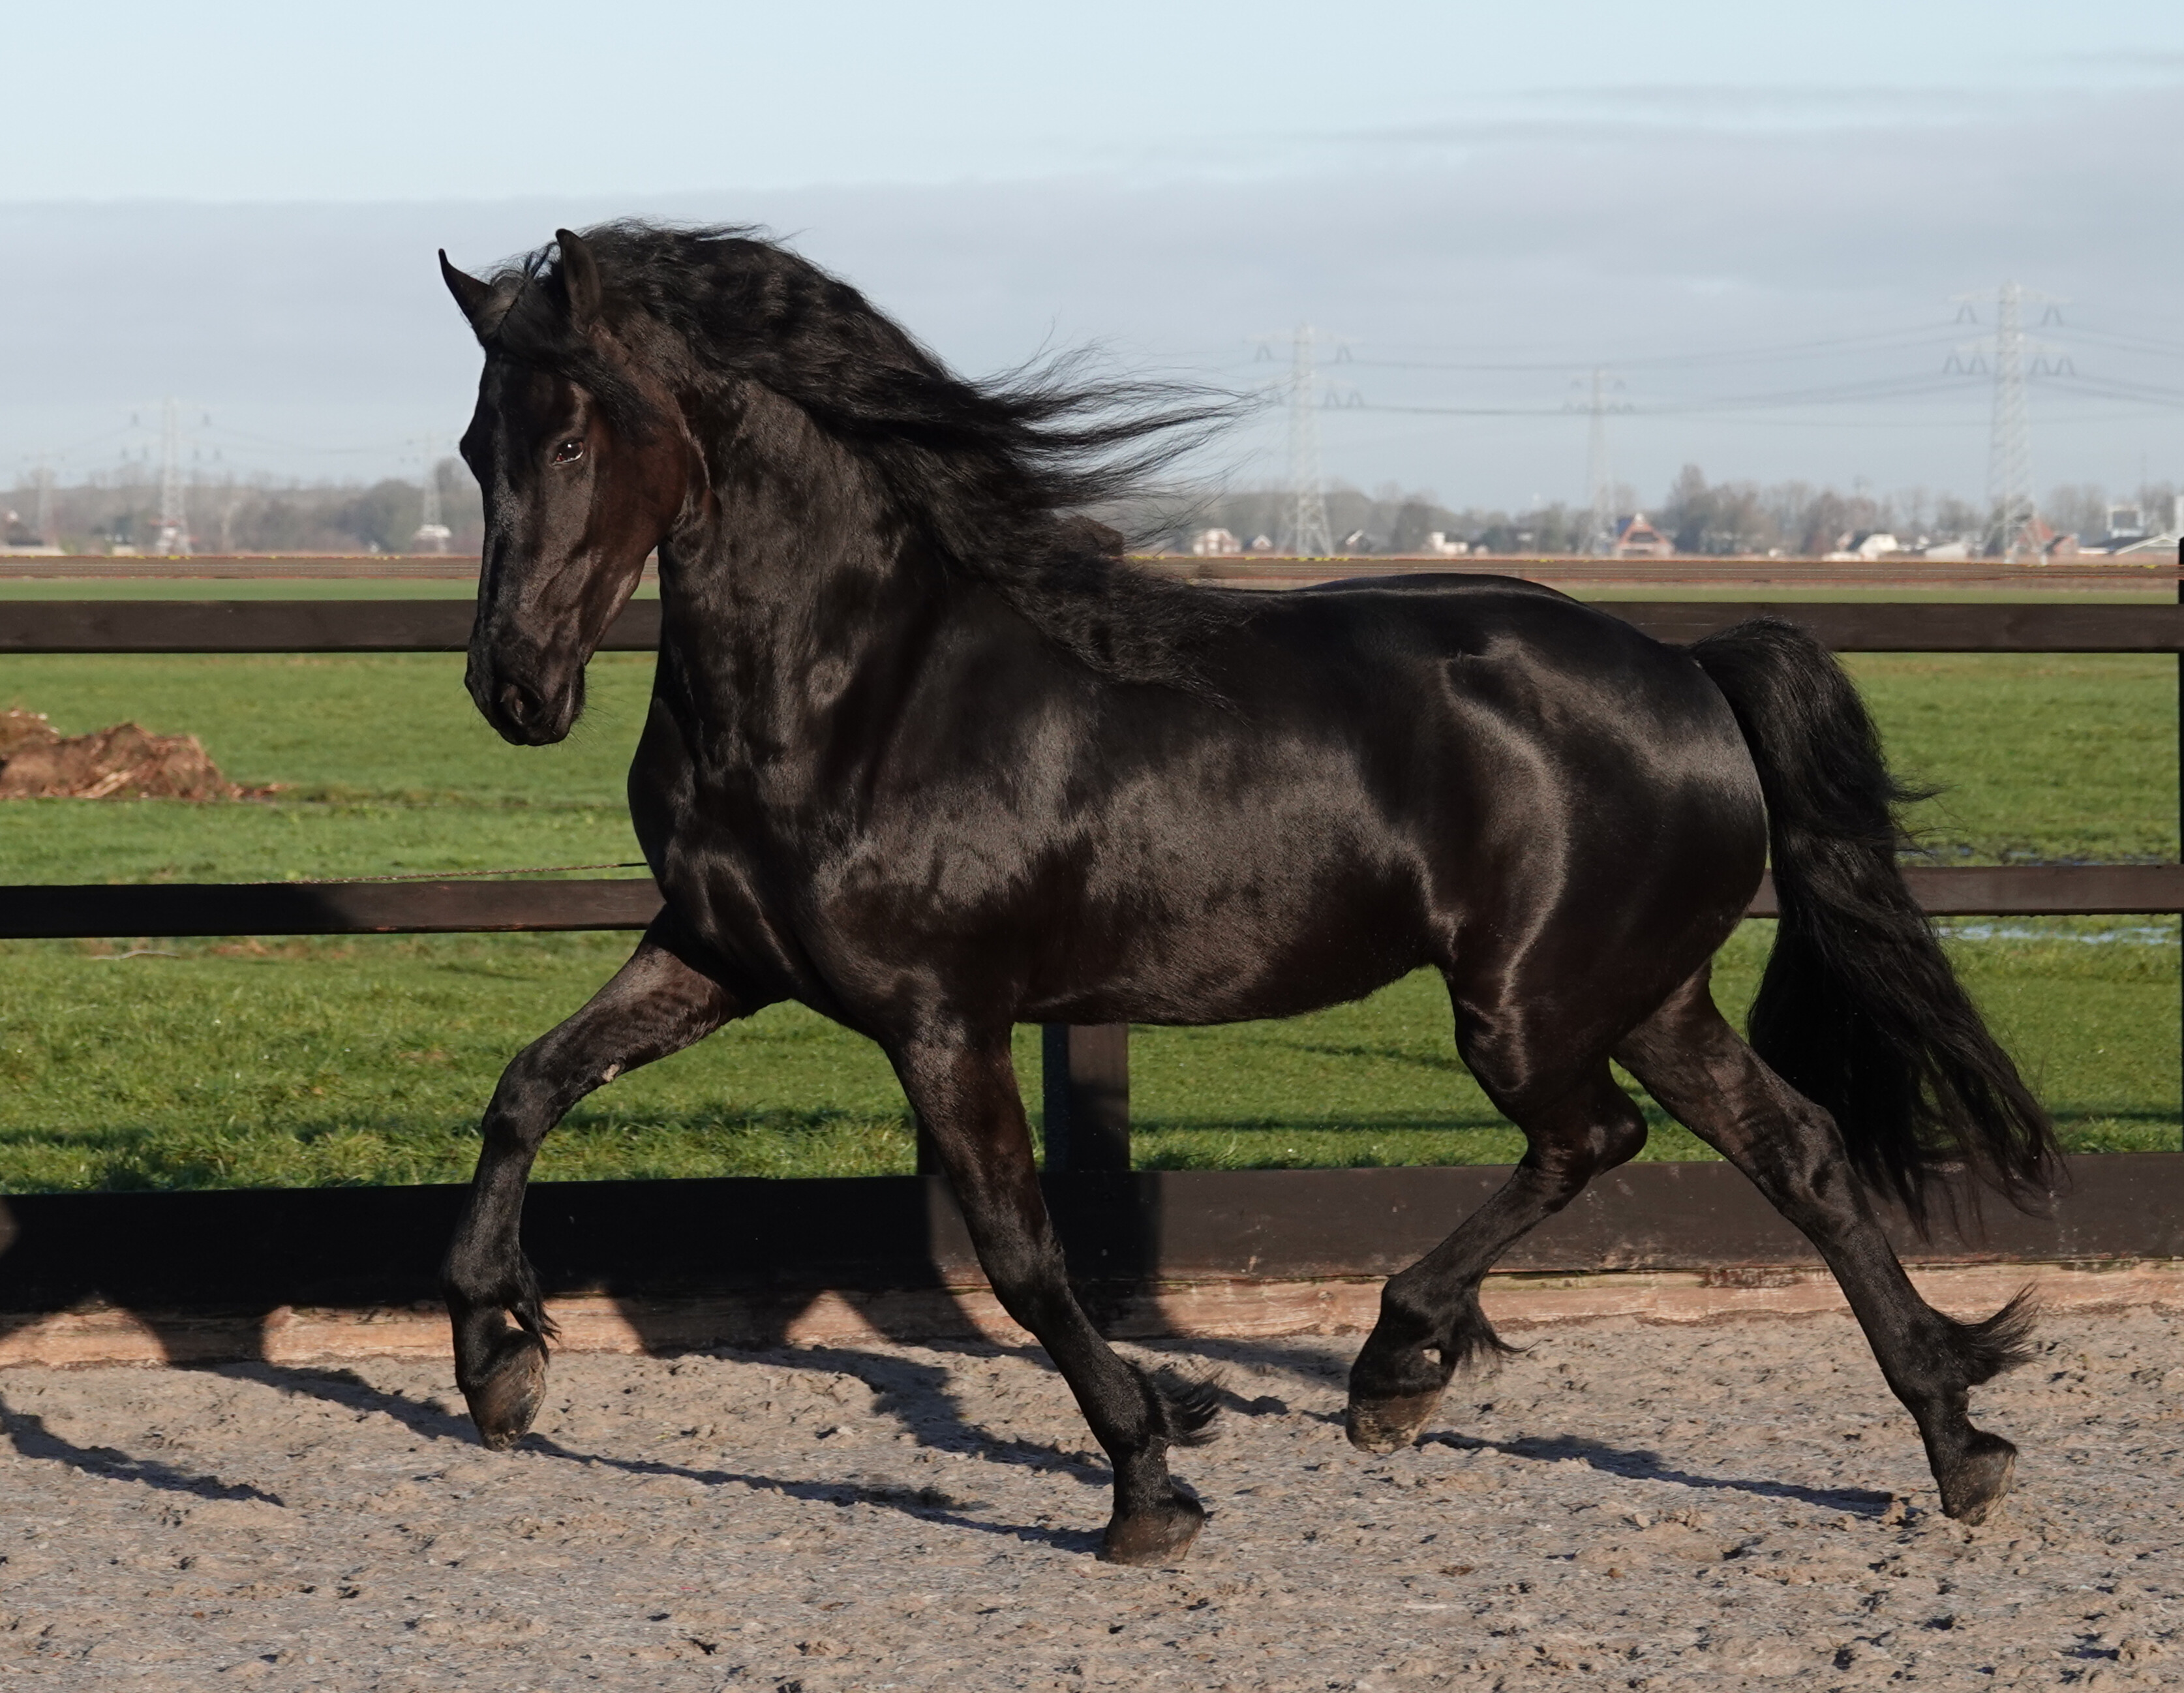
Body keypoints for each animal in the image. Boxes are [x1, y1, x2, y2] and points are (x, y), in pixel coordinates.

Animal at [434, 222, 2057, 1564]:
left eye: (569, 432)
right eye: (469, 443)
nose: (513, 690)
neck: (859, 691)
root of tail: (1687, 666)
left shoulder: (941, 1017)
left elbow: (1022, 1253)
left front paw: (1151, 1479)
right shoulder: (718, 954)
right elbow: (528, 1087)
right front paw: (498, 1363)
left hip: (1531, 1003)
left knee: (1597, 1135)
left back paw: (1398, 1364)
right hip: (1647, 992)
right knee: (1800, 1150)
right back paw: (1955, 1437)